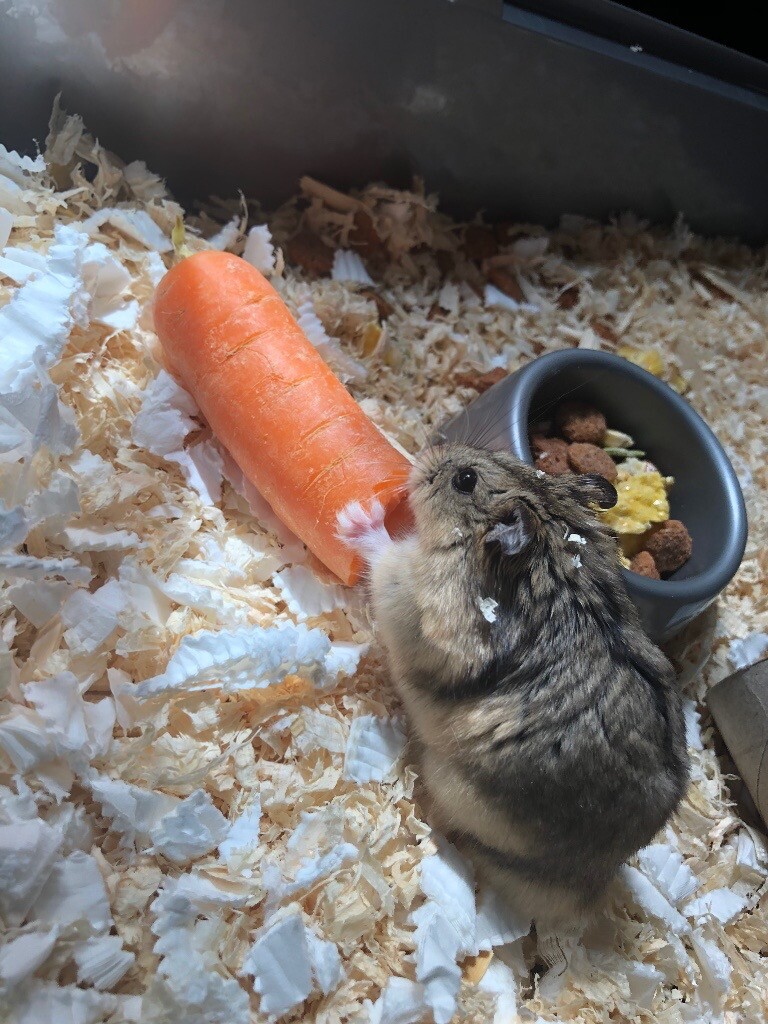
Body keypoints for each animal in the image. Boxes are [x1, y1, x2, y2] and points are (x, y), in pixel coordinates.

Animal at [338, 442, 690, 930]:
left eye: (465, 480)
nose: (429, 450)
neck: (551, 550)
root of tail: (593, 883)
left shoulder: (409, 589)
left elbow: (382, 553)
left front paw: (356, 518)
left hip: (454, 787)